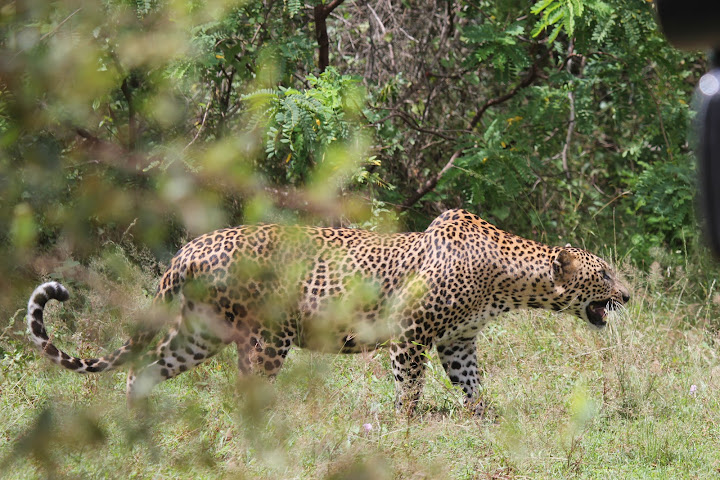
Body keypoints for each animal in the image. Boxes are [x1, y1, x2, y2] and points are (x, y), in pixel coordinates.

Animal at [25, 209, 628, 412]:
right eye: (604, 274)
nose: (628, 296)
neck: (505, 281)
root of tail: (188, 249)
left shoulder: (458, 341)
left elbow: (474, 385)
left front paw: (484, 419)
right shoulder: (411, 333)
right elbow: (409, 389)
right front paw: (405, 428)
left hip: (200, 334)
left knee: (145, 371)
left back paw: (136, 420)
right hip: (266, 338)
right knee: (248, 387)